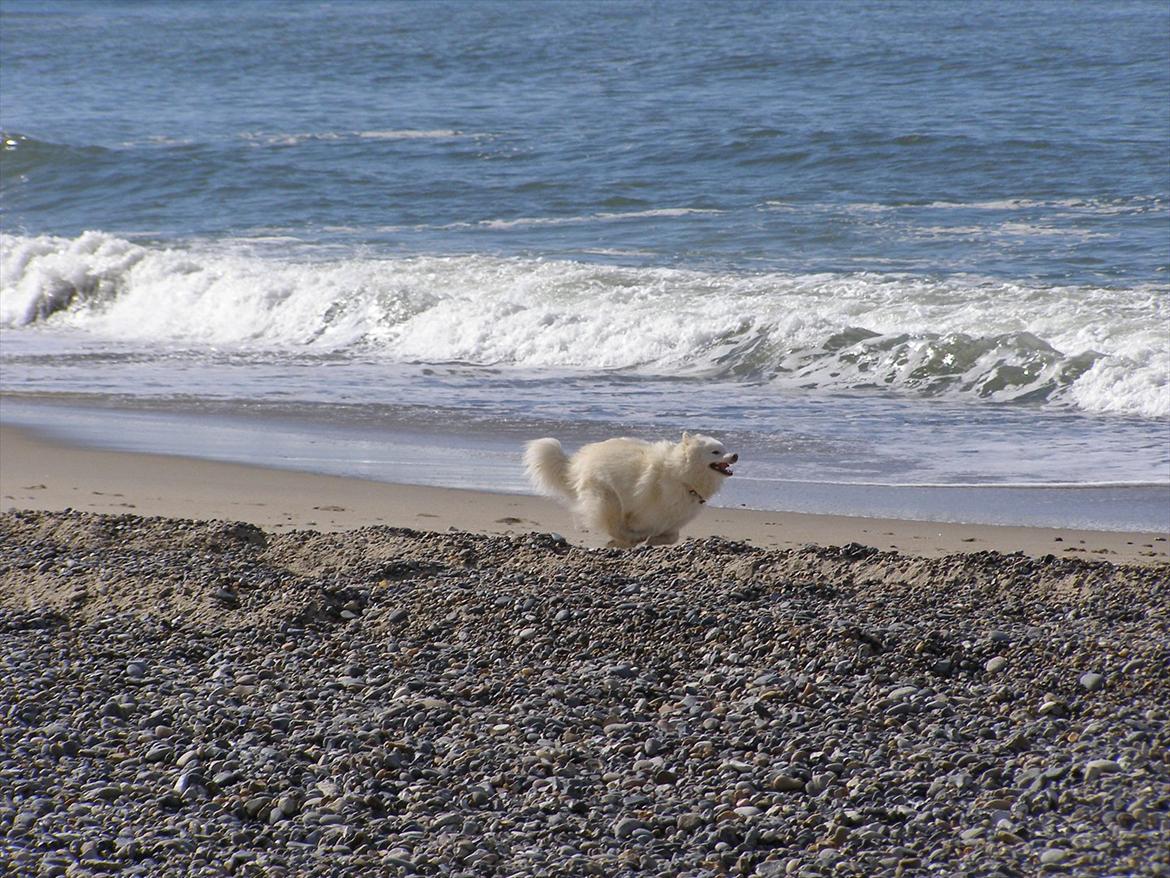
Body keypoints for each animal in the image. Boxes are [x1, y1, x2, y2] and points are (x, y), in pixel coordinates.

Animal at [524, 430, 734, 547]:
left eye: (724, 449)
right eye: (716, 452)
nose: (735, 455)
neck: (681, 474)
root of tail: (576, 464)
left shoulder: (673, 519)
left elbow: (673, 536)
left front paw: (653, 540)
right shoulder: (646, 509)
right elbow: (638, 528)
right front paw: (638, 539)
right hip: (608, 498)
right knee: (613, 524)